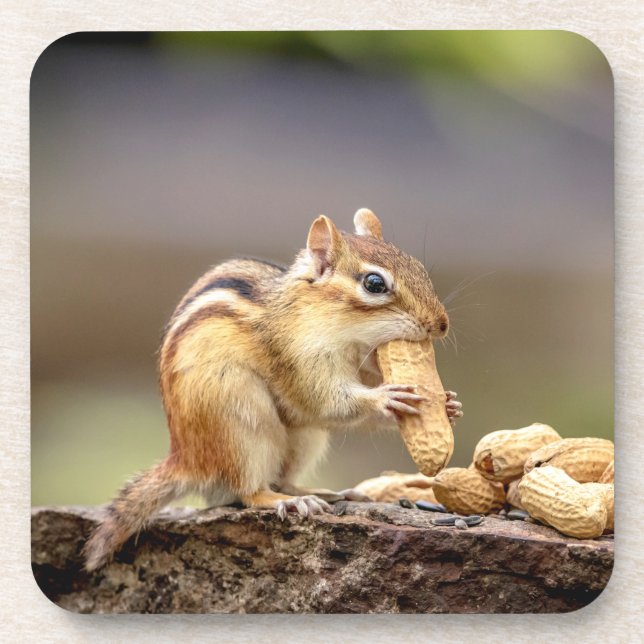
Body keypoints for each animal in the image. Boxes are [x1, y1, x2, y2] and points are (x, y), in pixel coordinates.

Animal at [83, 208, 462, 571]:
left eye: (419, 269)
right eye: (374, 283)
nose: (441, 325)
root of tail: (186, 459)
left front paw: (448, 404)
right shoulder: (299, 359)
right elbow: (329, 402)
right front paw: (387, 398)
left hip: (304, 438)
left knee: (284, 477)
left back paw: (325, 493)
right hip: (241, 422)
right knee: (250, 492)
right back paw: (289, 502)